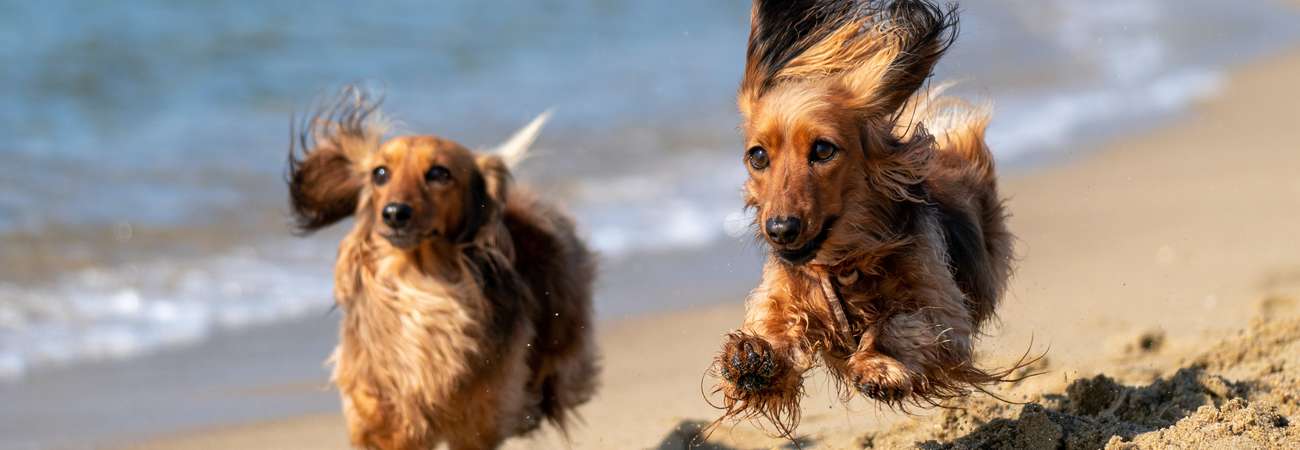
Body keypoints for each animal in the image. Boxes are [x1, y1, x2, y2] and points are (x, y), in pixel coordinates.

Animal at [717, 0, 1019, 436]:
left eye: (823, 150)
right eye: (757, 156)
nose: (780, 230)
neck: (843, 263)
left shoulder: (943, 312)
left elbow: (897, 323)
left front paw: (879, 366)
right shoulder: (783, 294)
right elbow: (775, 324)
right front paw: (753, 358)